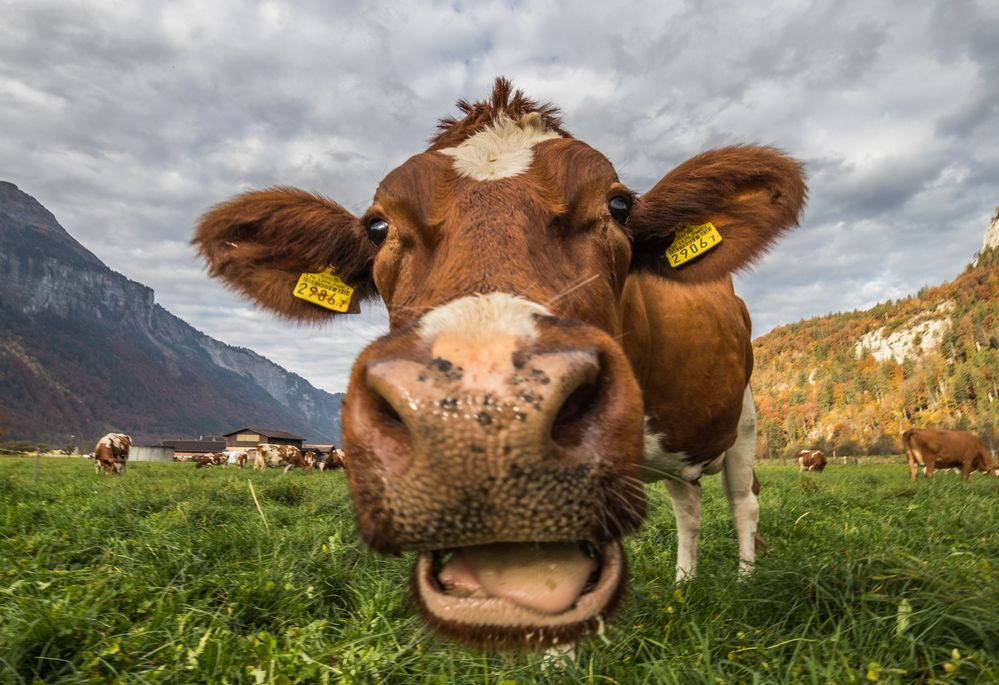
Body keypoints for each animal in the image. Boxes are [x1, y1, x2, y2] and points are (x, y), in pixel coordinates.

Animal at [193, 78, 806, 649]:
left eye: (618, 206)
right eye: (377, 226)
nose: (481, 409)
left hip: (744, 419)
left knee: (743, 500)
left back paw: (746, 582)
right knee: (688, 502)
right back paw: (684, 584)